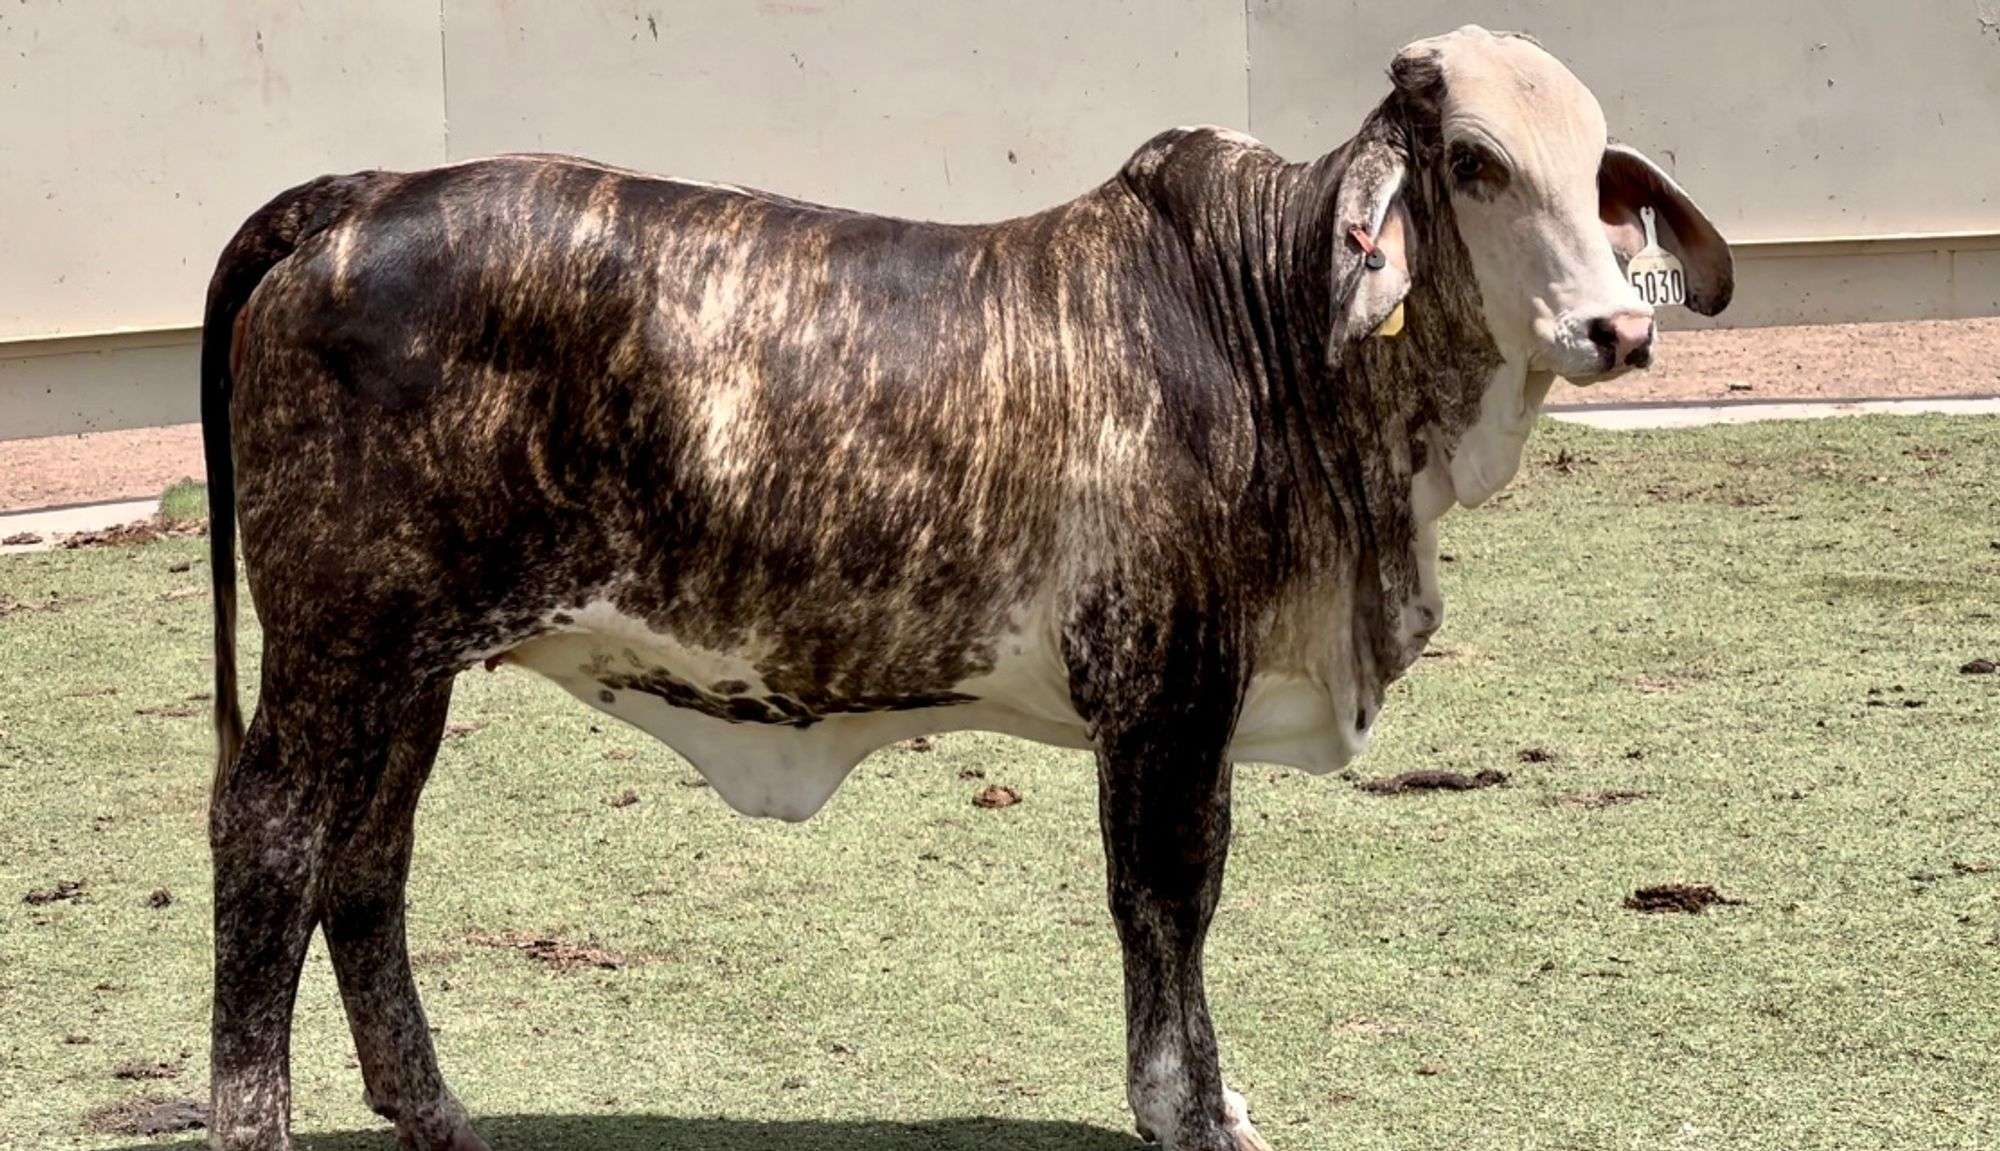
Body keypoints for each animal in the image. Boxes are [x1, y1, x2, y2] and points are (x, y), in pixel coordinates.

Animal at [198, 25, 1730, 1151]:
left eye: (1595, 170)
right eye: (1472, 161)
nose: (1619, 327)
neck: (1272, 329)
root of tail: (359, 193)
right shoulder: (1167, 697)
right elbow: (1167, 899)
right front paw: (1189, 1110)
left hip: (409, 661)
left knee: (369, 858)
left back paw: (439, 1113)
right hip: (339, 638)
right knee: (271, 837)